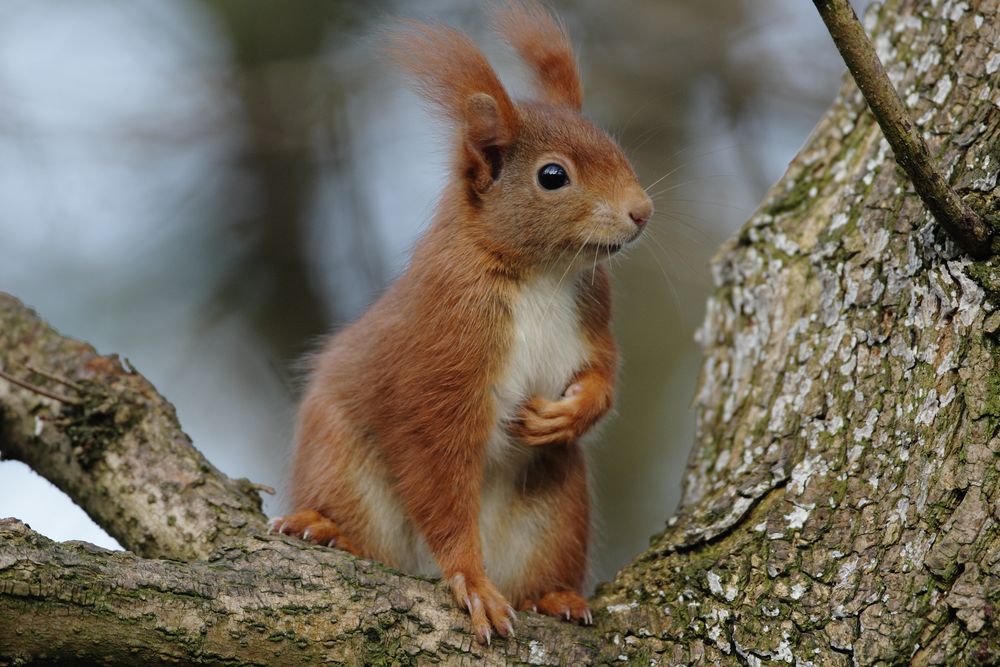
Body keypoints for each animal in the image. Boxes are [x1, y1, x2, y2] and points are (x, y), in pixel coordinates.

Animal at [269, 0, 652, 644]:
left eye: (613, 144)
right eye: (553, 176)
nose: (642, 212)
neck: (541, 274)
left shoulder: (592, 313)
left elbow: (604, 370)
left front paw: (572, 411)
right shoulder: (445, 344)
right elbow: (437, 464)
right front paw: (470, 580)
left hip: (557, 508)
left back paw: (554, 597)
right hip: (340, 462)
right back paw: (325, 529)